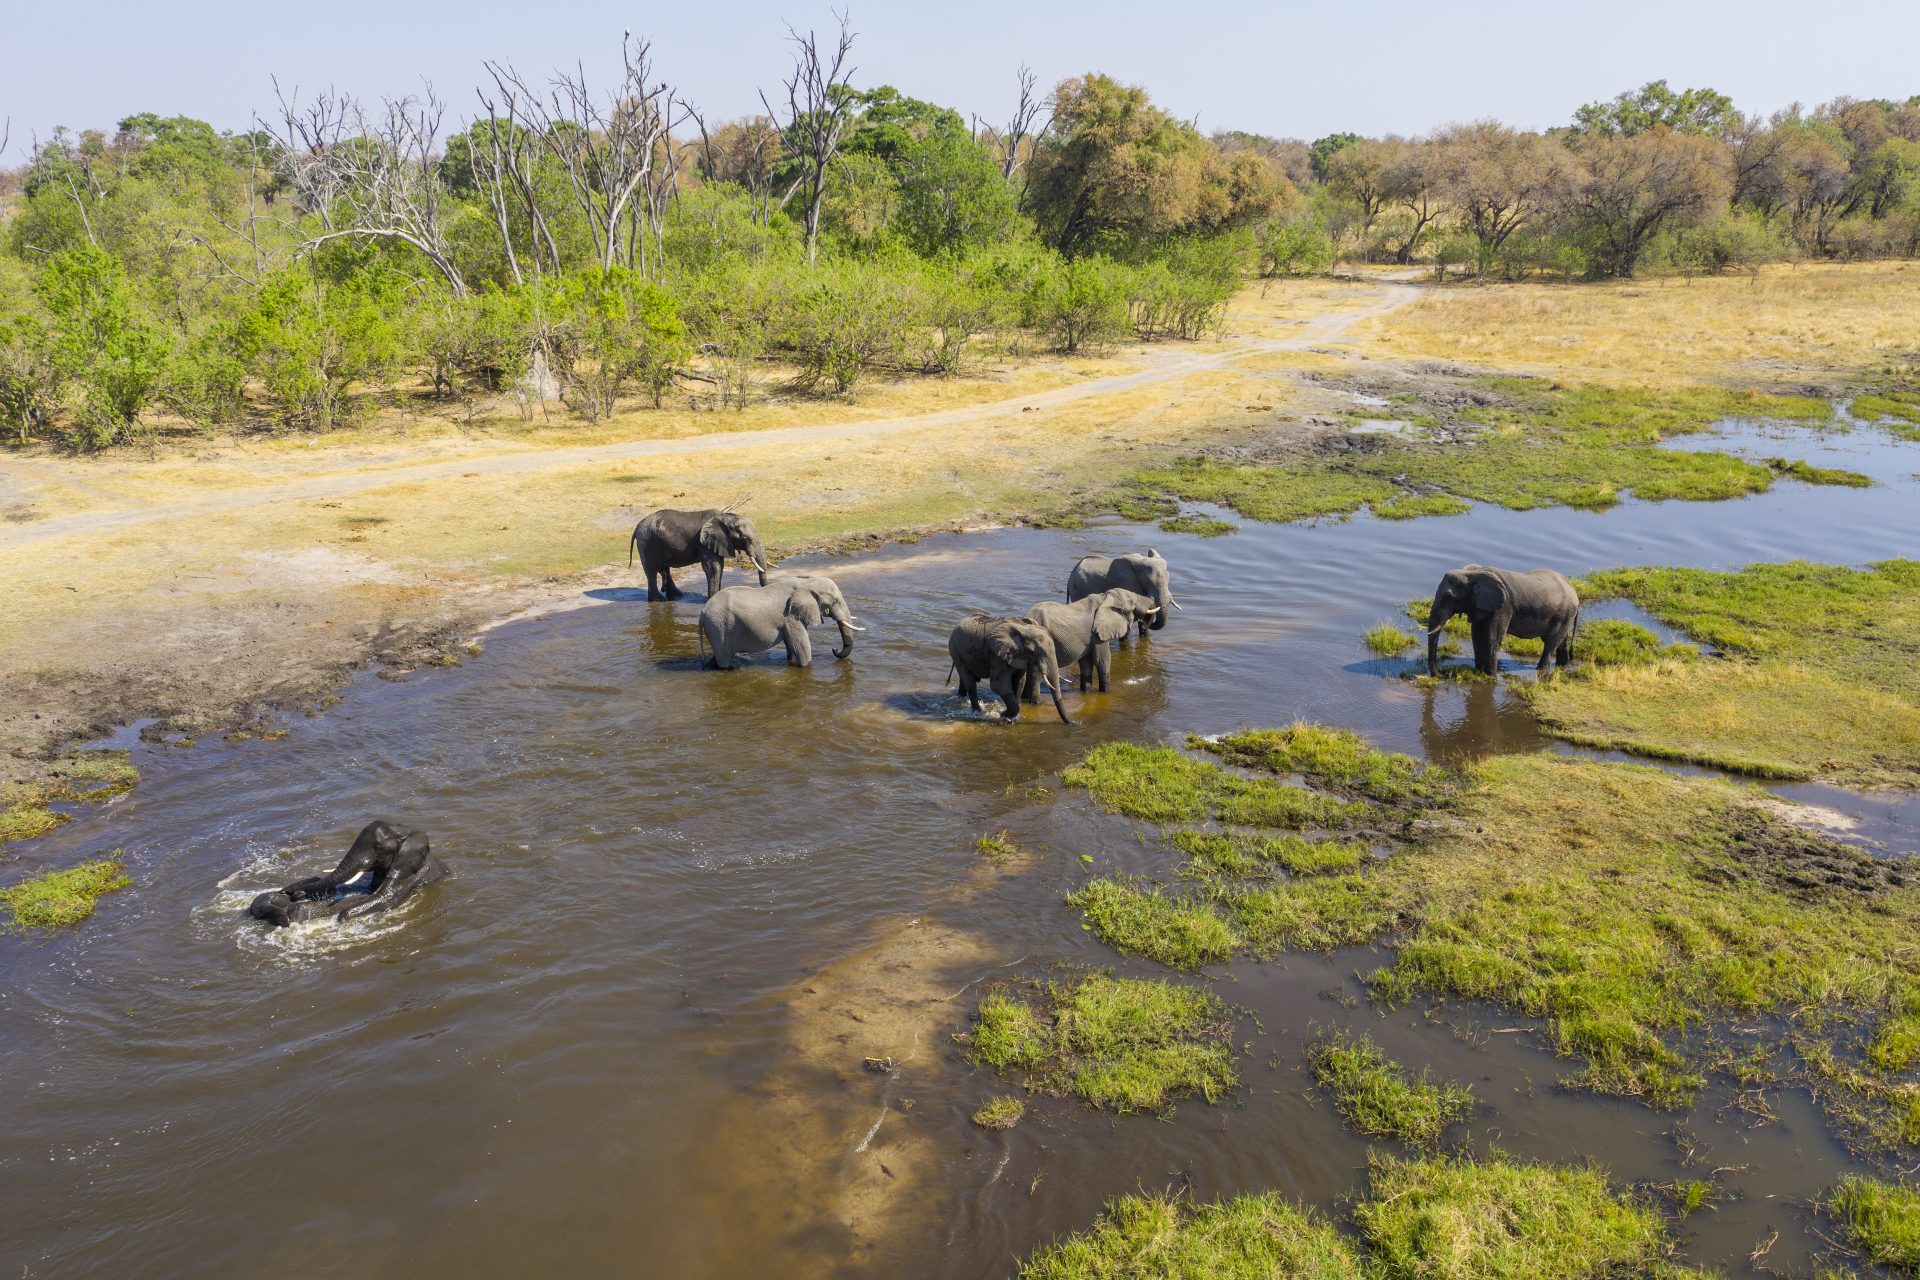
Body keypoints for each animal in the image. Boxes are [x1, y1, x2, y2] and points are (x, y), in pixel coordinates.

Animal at [243, 821, 441, 932]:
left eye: (378, 848)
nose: (289, 891)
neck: (407, 831)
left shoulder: (409, 875)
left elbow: (383, 898)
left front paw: (341, 919)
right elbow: (367, 890)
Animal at [633, 498, 775, 602]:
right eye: (745, 538)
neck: (726, 517)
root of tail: (638, 525)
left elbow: (720, 566)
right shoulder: (704, 543)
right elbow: (714, 568)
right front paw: (712, 599)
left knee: (665, 568)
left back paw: (677, 596)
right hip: (646, 543)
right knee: (651, 570)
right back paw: (658, 600)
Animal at [698, 571, 864, 671]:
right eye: (835, 602)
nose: (834, 650)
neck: (806, 582)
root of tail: (702, 613)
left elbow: (791, 645)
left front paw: (791, 664)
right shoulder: (790, 617)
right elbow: (801, 644)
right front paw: (806, 667)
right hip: (719, 627)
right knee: (724, 659)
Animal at [1420, 564, 1582, 675]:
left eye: (1450, 597)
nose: (1442, 674)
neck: (1472, 573)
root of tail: (1574, 592)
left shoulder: (1503, 606)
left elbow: (1491, 638)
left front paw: (1491, 677)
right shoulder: (1480, 605)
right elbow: (1477, 636)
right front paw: (1479, 672)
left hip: (1564, 613)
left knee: (1550, 644)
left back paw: (1541, 670)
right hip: (1564, 615)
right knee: (1561, 642)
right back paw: (1561, 666)